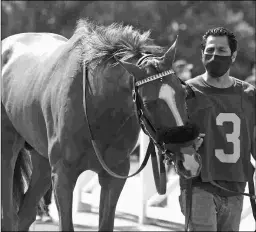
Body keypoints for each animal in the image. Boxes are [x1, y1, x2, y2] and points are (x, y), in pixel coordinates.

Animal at [1, 19, 199, 231]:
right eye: (149, 103)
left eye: (184, 93)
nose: (189, 159)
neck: (97, 103)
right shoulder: (63, 174)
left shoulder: (114, 175)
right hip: (8, 149)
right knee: (9, 215)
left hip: (42, 160)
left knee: (25, 214)